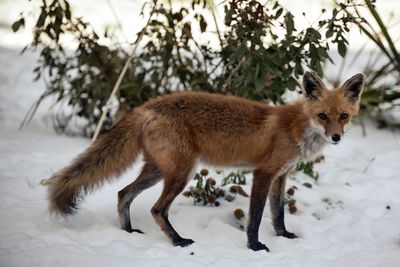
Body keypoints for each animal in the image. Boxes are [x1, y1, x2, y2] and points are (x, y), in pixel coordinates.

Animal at [48, 71, 364, 251]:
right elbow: (256, 216)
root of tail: (147, 106)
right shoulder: (263, 173)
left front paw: (284, 236)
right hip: (182, 173)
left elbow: (278, 213)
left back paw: (128, 233)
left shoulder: (281, 175)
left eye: (343, 116)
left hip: (158, 170)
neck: (296, 128)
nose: (336, 137)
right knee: (156, 209)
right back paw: (177, 241)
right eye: (322, 116)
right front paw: (254, 246)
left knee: (123, 194)